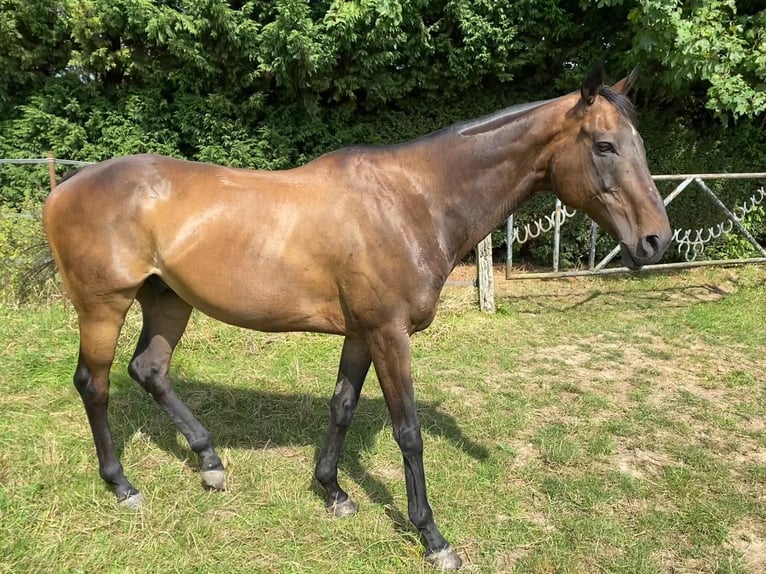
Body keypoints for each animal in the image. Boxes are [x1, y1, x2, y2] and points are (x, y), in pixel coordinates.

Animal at [42, 64, 668, 572]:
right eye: (605, 145)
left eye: (640, 144)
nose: (656, 241)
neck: (413, 200)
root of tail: (63, 188)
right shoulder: (390, 334)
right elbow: (408, 431)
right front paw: (433, 537)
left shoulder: (363, 334)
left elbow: (342, 406)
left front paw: (333, 491)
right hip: (104, 306)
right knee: (94, 383)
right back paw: (123, 486)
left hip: (168, 299)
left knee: (149, 370)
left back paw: (210, 462)